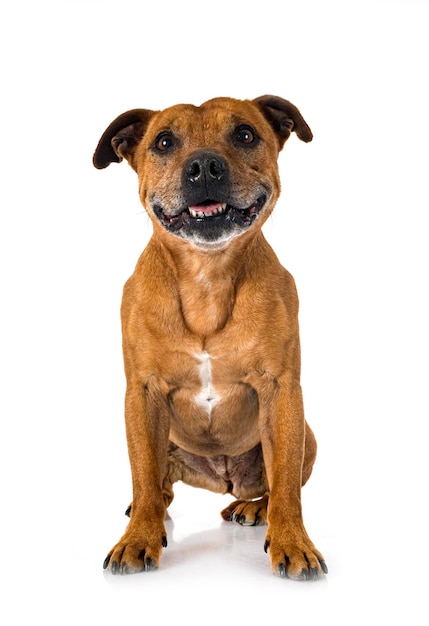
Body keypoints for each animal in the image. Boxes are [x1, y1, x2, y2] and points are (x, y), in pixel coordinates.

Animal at [93, 95, 326, 576]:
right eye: (164, 142)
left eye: (245, 134)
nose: (203, 166)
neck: (207, 275)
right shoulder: (142, 394)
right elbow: (143, 474)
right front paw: (137, 538)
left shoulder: (282, 391)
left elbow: (287, 483)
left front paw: (293, 543)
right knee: (157, 486)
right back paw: (148, 511)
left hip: (307, 436)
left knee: (277, 486)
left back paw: (254, 508)